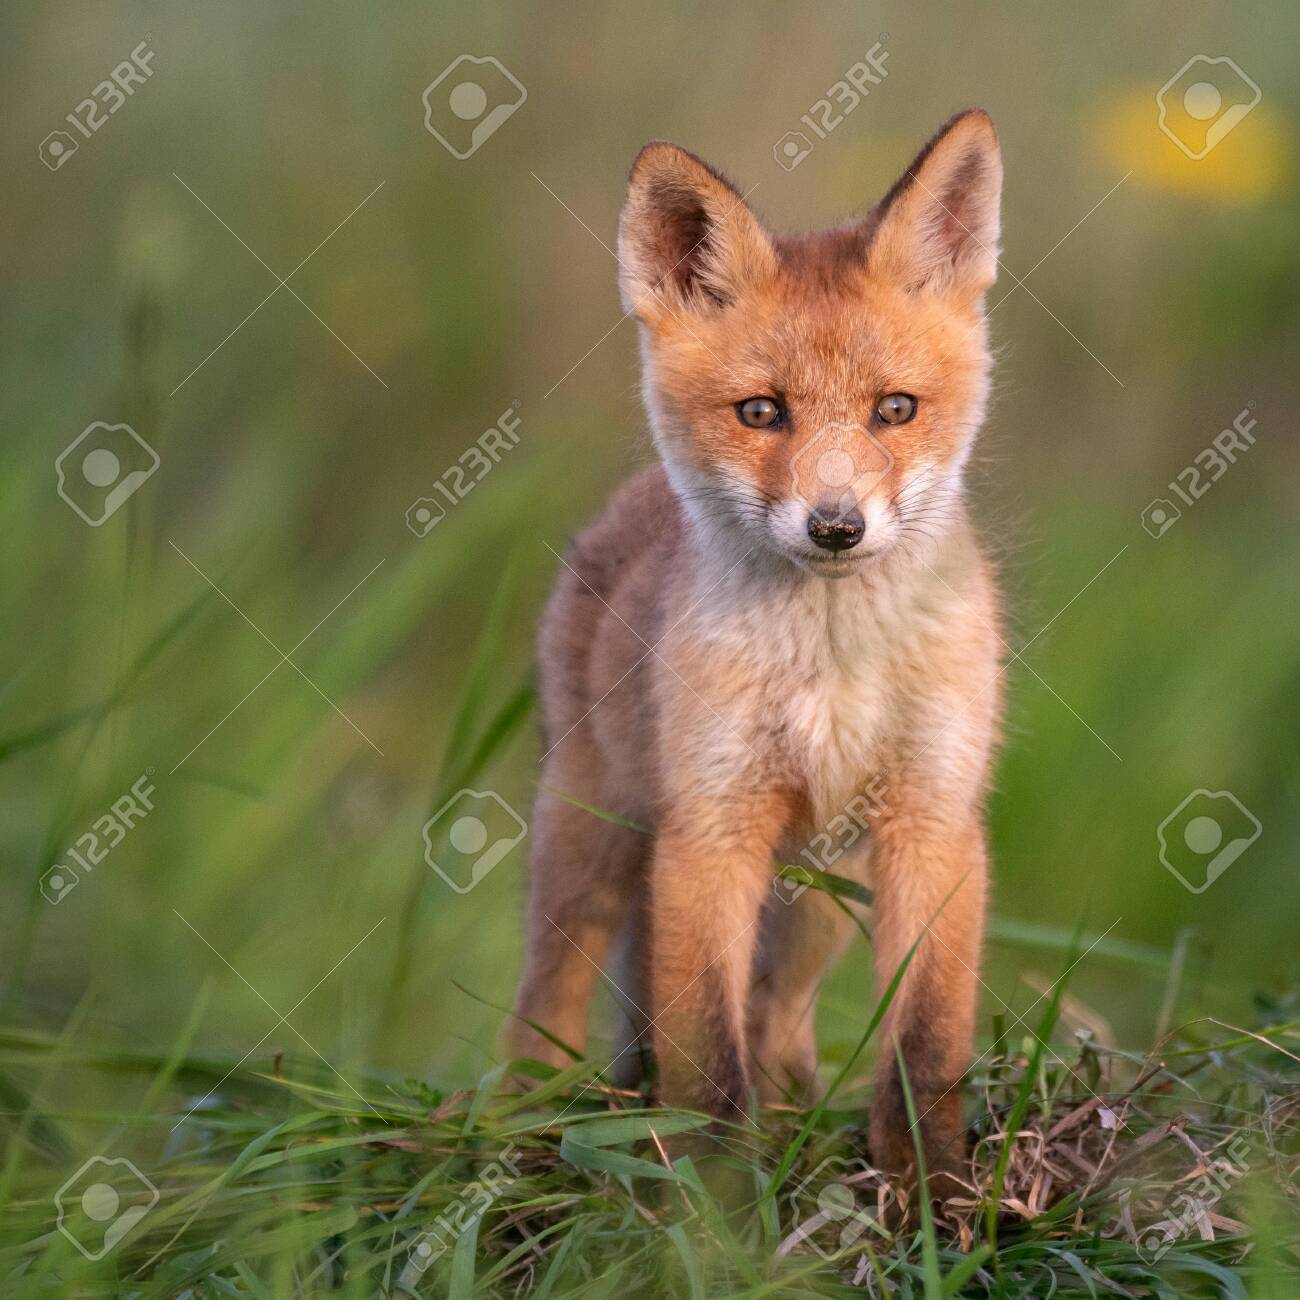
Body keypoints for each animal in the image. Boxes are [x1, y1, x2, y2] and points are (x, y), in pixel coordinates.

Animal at [506, 109, 1005, 1199]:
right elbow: (705, 1059)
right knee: (549, 1008)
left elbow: (925, 1046)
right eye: (761, 412)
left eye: (894, 410)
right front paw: (718, 1208)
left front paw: (935, 1196)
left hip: (817, 896)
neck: (833, 668)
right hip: (593, 844)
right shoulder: (710, 831)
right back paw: (516, 1139)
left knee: (778, 1025)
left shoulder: (932, 823)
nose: (836, 527)